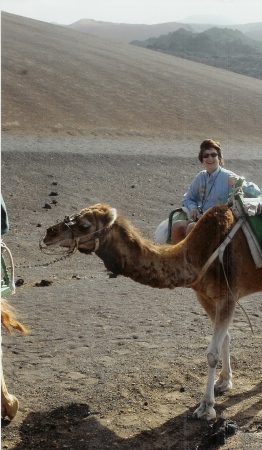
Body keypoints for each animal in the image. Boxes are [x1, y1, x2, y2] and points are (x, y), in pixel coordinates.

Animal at [41, 202, 262, 420]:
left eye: (84, 225)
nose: (49, 233)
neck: (198, 254)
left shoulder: (227, 296)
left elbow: (212, 354)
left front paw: (206, 407)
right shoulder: (204, 296)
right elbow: (226, 338)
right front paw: (224, 381)